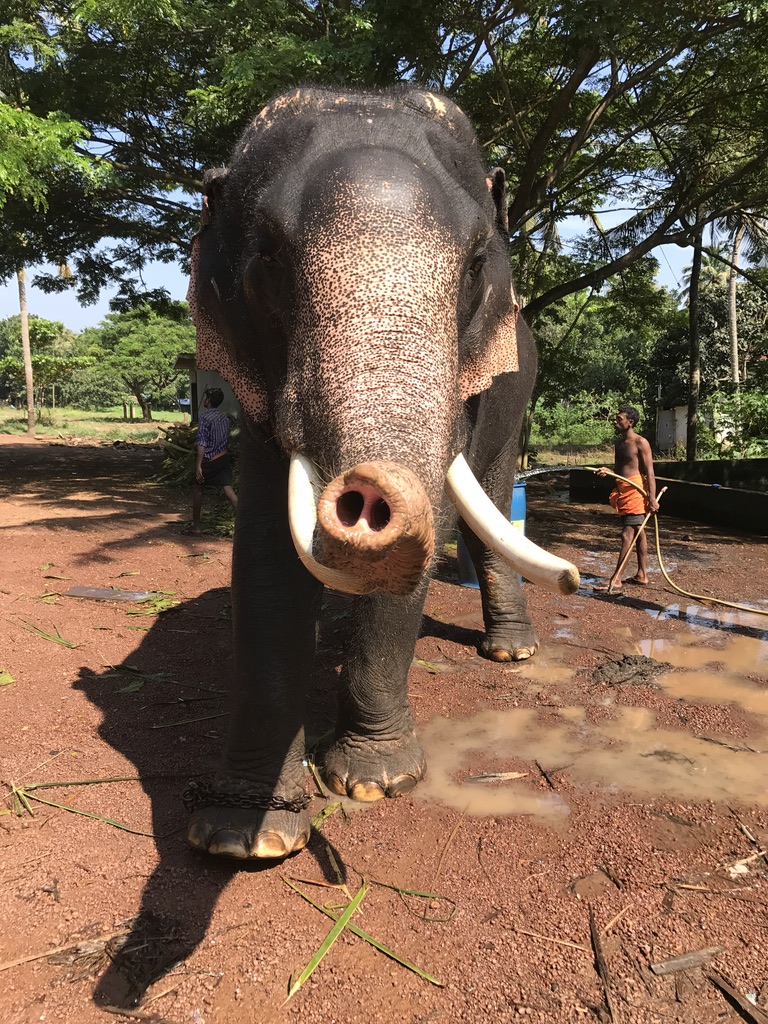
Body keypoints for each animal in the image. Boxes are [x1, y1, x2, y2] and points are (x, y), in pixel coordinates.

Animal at [184, 86, 578, 860]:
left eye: (475, 264)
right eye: (269, 256)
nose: (367, 495)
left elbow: (436, 527)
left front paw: (374, 781)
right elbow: (266, 549)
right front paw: (246, 836)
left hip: (516, 393)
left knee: (490, 512)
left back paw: (510, 652)